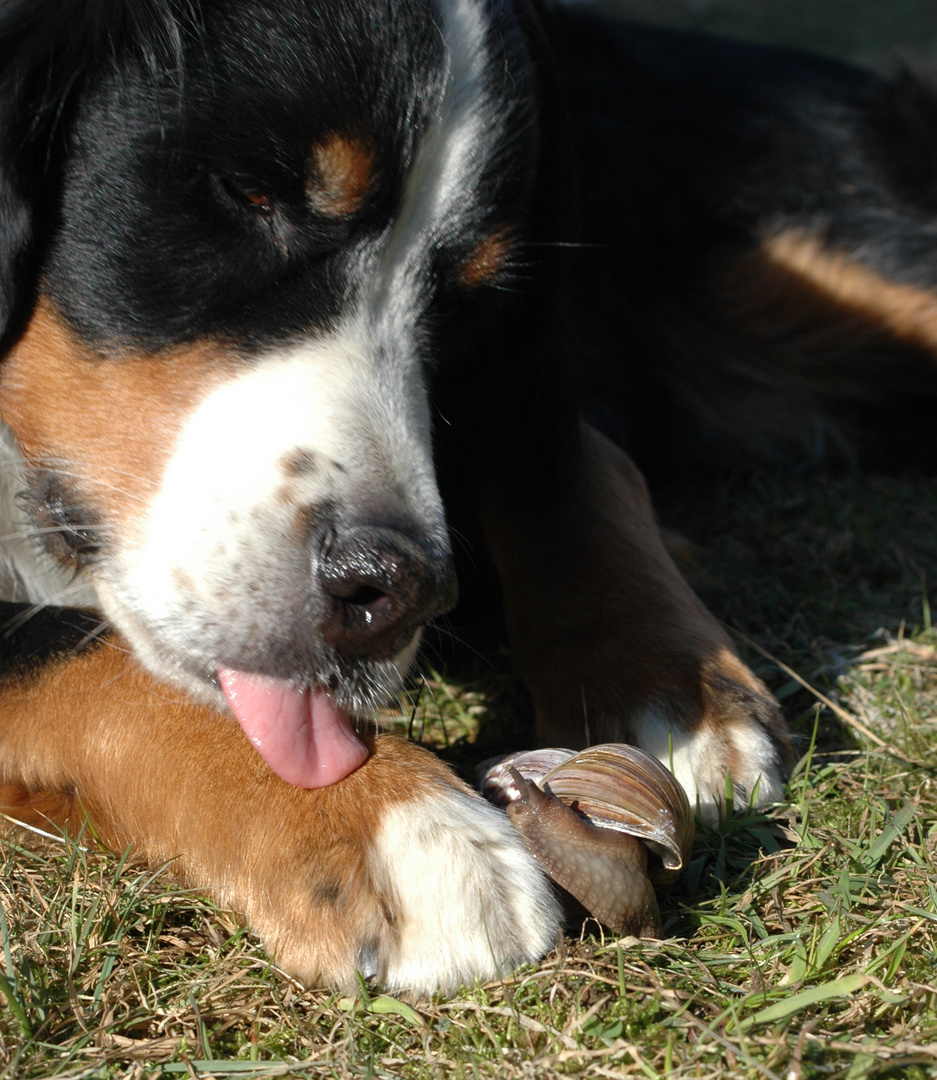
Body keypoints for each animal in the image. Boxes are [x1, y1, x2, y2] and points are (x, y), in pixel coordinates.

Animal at [0, 0, 932, 989]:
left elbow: (566, 462)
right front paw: (389, 821)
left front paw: (665, 681)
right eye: (249, 193)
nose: (394, 590)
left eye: (463, 296)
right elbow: (67, 651)